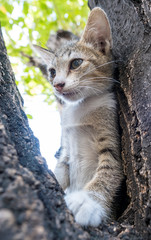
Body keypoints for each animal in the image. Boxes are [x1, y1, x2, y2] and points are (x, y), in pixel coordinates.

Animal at [34, 7, 123, 227]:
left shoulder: (111, 140)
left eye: (76, 63)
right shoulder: (65, 148)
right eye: (52, 72)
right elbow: (60, 169)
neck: (81, 108)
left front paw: (88, 201)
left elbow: (109, 170)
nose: (57, 84)